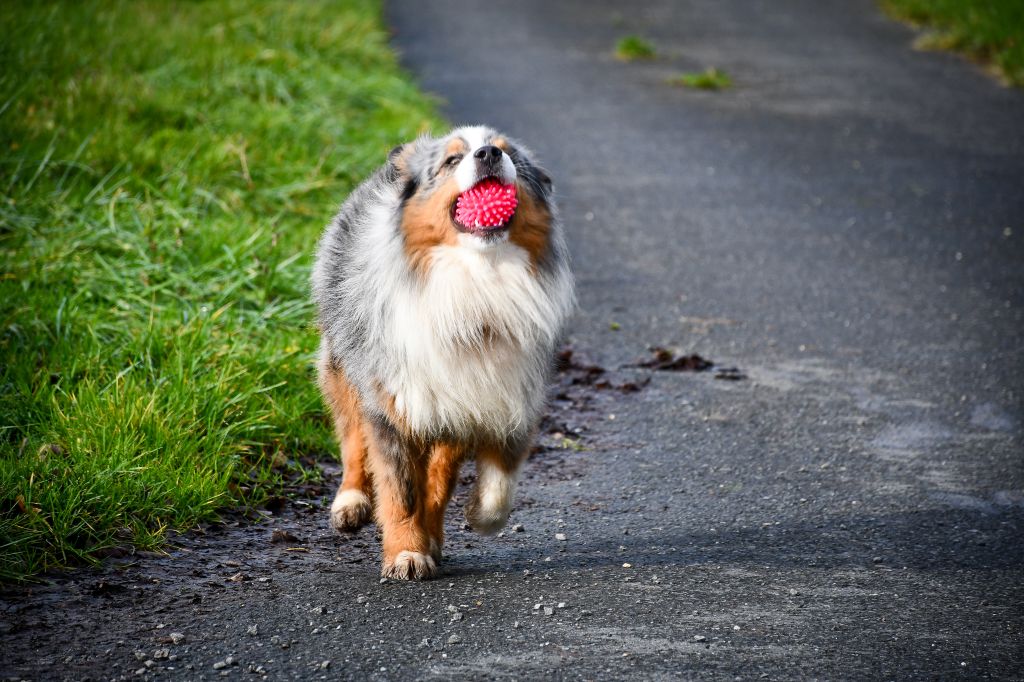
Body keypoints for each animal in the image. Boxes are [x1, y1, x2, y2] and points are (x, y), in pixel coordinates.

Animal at [309, 124, 577, 577]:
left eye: (509, 154)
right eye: (452, 160)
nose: (488, 155)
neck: (478, 280)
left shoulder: (494, 395)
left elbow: (486, 482)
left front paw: (472, 520)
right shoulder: (393, 398)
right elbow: (400, 490)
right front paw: (406, 553)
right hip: (343, 357)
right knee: (351, 433)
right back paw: (351, 502)